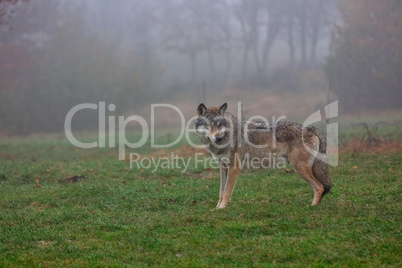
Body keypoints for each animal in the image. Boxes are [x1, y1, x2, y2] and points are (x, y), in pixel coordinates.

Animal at [194, 102, 330, 209]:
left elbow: (227, 192)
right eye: (208, 125)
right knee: (321, 187)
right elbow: (221, 192)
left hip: (299, 168)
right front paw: (217, 208)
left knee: (320, 187)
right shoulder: (223, 168)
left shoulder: (234, 168)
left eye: (219, 125)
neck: (228, 137)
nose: (218, 138)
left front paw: (222, 208)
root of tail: (311, 128)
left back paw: (312, 206)